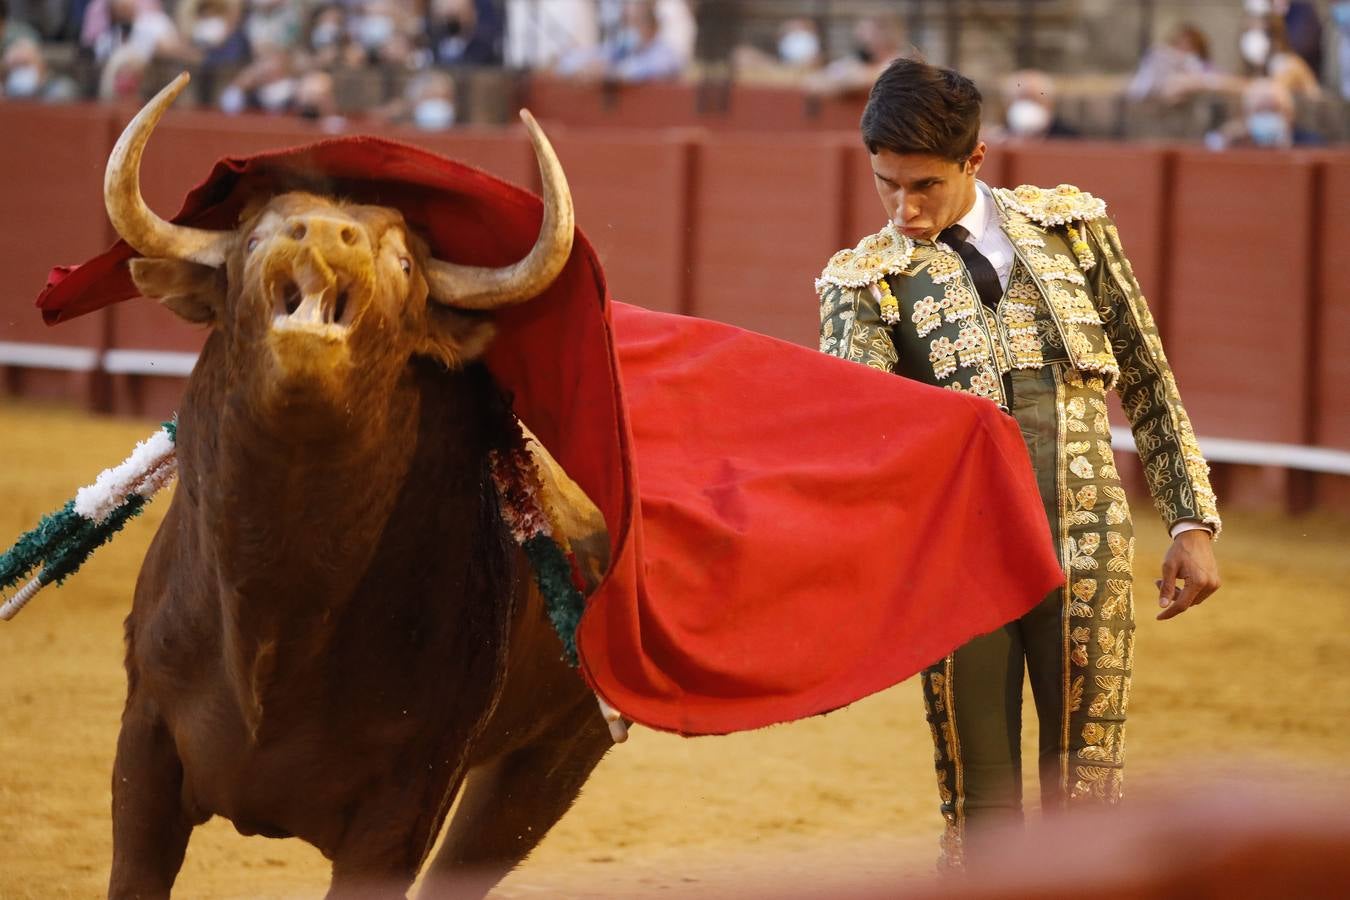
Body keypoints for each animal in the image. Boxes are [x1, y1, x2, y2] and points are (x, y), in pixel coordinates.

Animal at [106, 77, 618, 900]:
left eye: (404, 263)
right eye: (254, 237)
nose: (322, 234)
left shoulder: (405, 803)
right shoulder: (144, 746)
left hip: (550, 764)